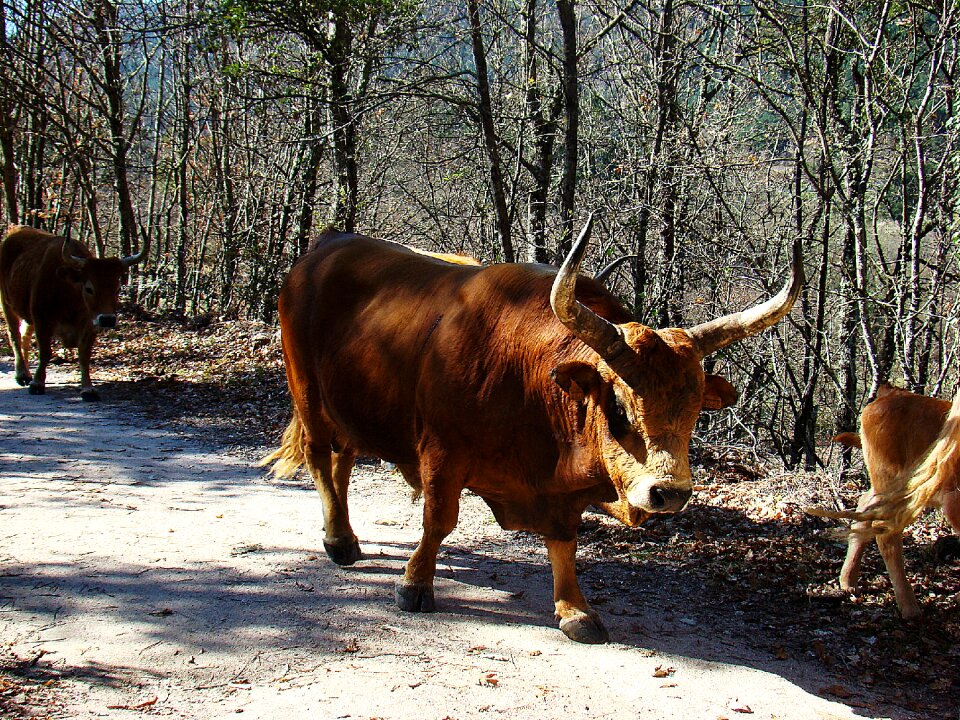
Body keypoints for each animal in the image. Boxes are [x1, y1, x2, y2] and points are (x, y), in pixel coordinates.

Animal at [0, 225, 146, 402]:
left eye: (117, 289)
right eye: (89, 288)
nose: (107, 320)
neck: (69, 293)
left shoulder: (89, 324)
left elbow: (84, 355)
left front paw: (88, 388)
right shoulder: (43, 319)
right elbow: (45, 353)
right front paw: (37, 383)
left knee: (24, 337)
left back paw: (27, 372)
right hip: (6, 302)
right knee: (14, 335)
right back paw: (21, 374)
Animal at [262, 222, 804, 644]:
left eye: (694, 412)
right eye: (621, 409)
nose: (668, 492)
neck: (525, 375)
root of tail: (329, 244)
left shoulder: (558, 494)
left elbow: (564, 540)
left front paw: (574, 609)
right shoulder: (441, 453)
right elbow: (438, 520)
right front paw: (415, 584)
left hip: (351, 409)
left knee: (343, 461)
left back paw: (346, 534)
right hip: (307, 392)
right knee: (320, 457)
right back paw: (338, 539)